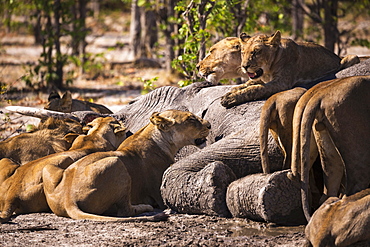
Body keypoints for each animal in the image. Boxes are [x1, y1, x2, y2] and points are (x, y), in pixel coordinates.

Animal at [41, 110, 210, 222]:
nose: (209, 125)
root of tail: (68, 199)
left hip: (49, 167)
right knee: (124, 211)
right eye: (191, 119)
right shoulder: (160, 193)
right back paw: (145, 207)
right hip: (116, 163)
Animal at [220, 29, 358, 107]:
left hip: (352, 57)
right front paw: (232, 91)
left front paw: (230, 98)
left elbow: (256, 88)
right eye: (243, 53)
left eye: (256, 52)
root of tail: (337, 56)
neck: (268, 70)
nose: (244, 66)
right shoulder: (261, 78)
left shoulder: (281, 83)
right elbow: (248, 84)